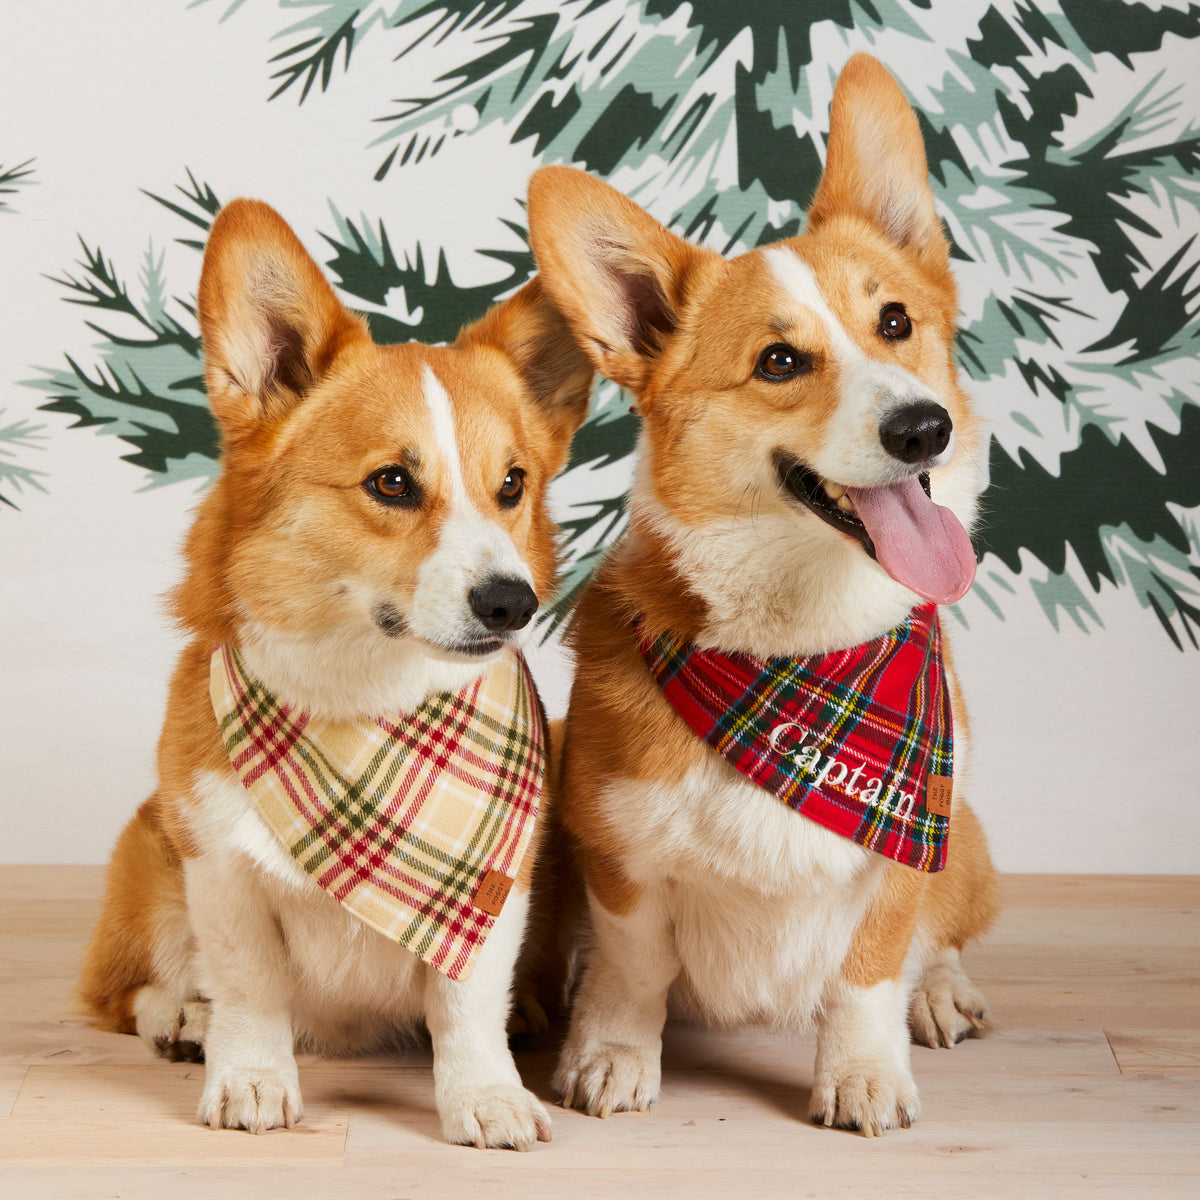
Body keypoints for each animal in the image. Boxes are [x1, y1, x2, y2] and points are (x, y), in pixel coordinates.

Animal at [77, 201, 592, 1147]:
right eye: (391, 483)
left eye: (512, 484)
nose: (513, 602)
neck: (363, 702)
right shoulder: (221, 870)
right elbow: (248, 990)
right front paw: (248, 1079)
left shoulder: (494, 891)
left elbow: (466, 1004)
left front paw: (487, 1096)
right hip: (149, 855)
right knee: (123, 993)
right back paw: (181, 1019)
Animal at [530, 54, 998, 1132]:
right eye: (780, 362)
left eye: (896, 323)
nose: (924, 428)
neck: (800, 652)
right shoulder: (616, 852)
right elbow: (631, 967)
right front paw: (611, 1055)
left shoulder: (906, 845)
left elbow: (869, 971)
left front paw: (862, 1076)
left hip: (970, 843)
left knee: (943, 943)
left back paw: (942, 996)